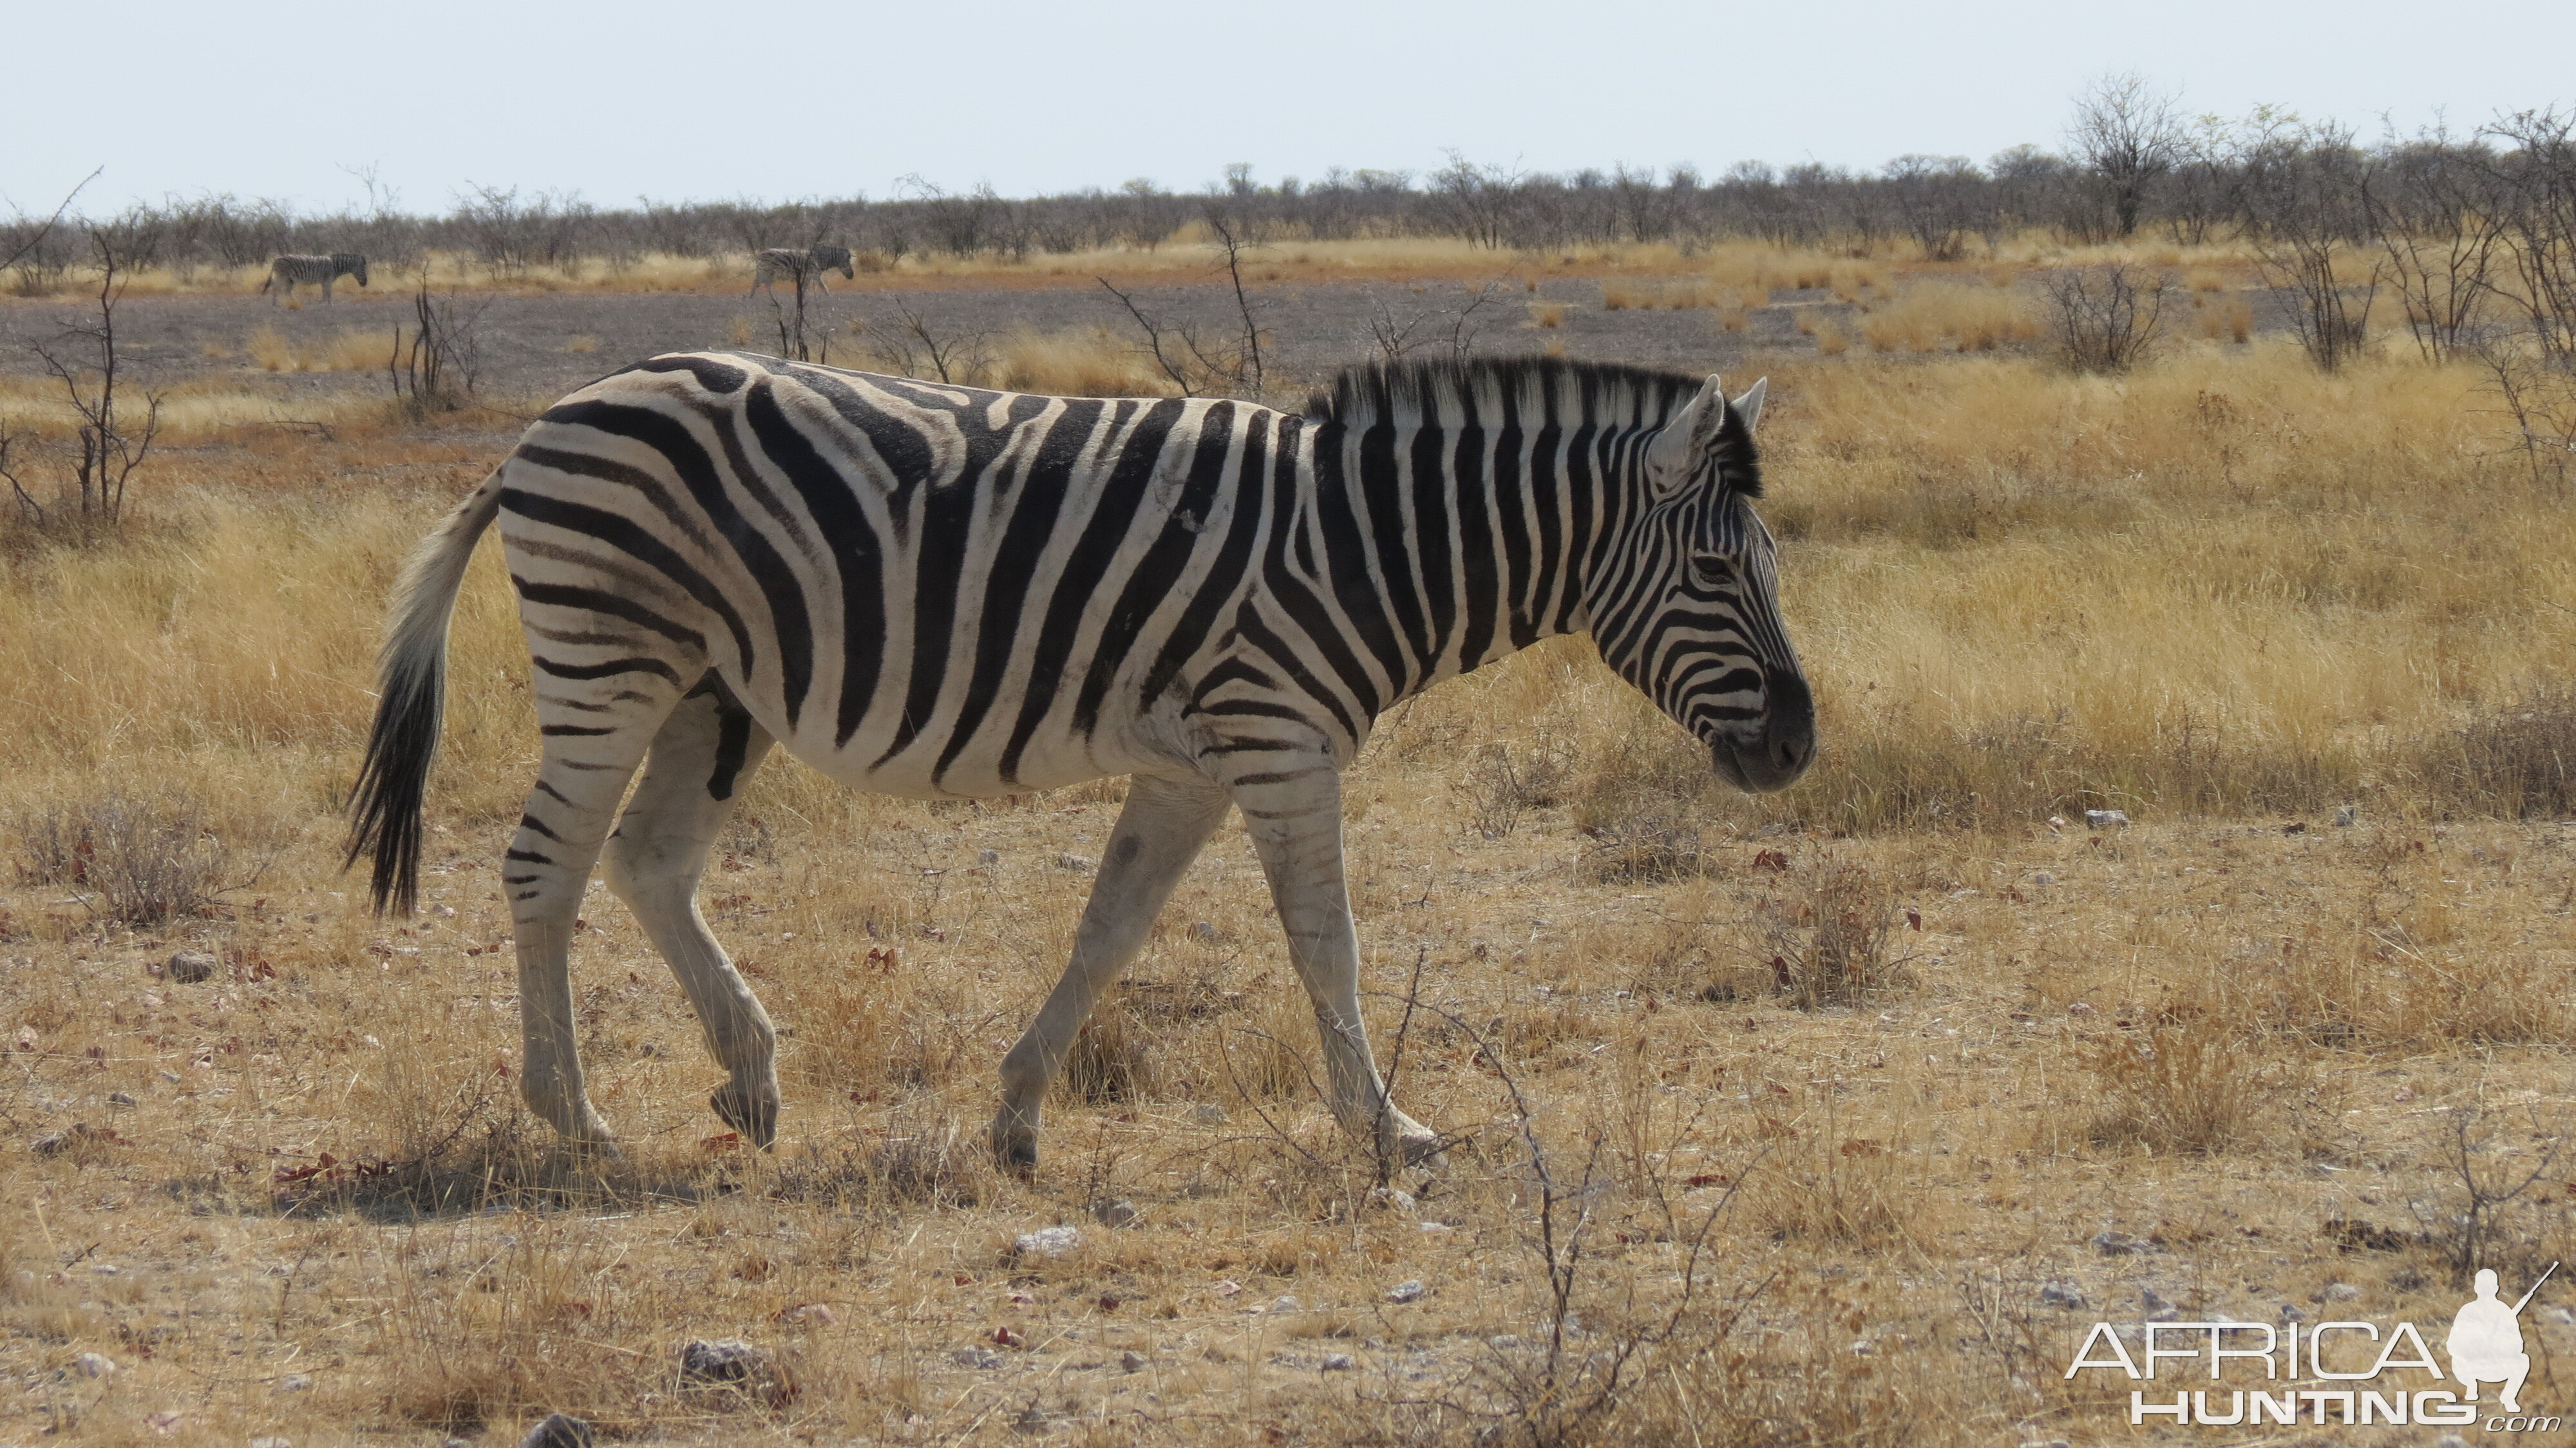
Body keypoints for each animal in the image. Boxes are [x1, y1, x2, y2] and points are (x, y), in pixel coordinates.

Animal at [261, 252, 371, 303]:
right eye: (363, 270)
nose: (365, 283)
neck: (335, 267)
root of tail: (276, 259)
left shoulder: (325, 281)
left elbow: (325, 293)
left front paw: (323, 303)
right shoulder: (328, 280)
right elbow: (328, 293)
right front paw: (329, 304)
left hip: (290, 279)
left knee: (287, 291)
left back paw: (294, 302)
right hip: (282, 276)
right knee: (276, 288)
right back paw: (275, 303)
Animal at [348, 356, 1814, 1165]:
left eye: (1767, 562)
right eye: (1714, 570)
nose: (1800, 745)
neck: (1360, 546)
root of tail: (553, 416)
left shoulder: (1196, 760)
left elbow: (1108, 929)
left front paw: (1014, 1115)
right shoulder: (1281, 740)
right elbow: (1327, 947)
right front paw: (1385, 1129)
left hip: (710, 691)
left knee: (648, 863)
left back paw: (751, 1073)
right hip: (612, 658)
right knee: (545, 868)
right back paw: (574, 1115)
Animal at [752, 246, 860, 295]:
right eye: (847, 264)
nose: (852, 276)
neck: (819, 260)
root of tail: (762, 253)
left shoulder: (814, 276)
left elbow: (822, 288)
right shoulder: (811, 275)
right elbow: (814, 288)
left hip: (767, 272)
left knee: (762, 283)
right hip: (767, 271)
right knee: (760, 283)